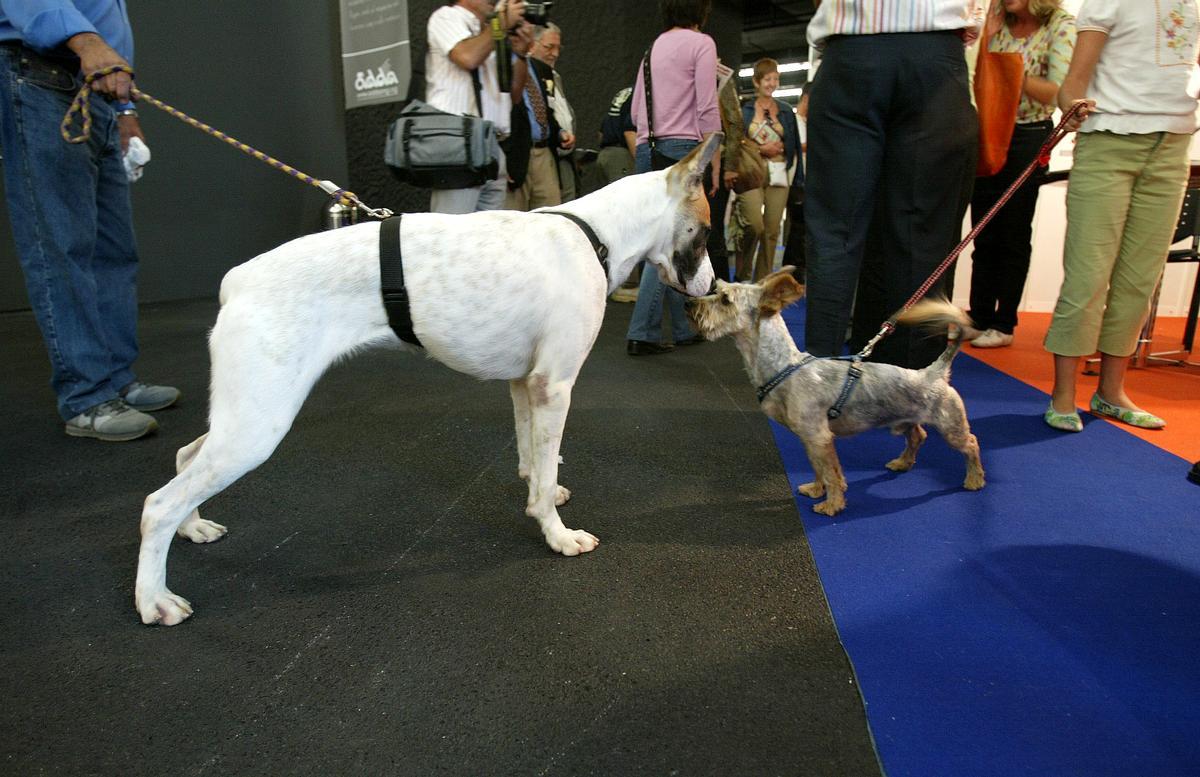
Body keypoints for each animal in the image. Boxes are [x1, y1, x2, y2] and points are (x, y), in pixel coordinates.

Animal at [137, 134, 724, 623]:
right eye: (706, 233)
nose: (715, 287)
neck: (595, 234)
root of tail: (239, 280)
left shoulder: (527, 386)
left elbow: (533, 459)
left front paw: (545, 492)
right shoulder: (555, 386)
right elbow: (540, 474)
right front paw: (556, 535)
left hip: (242, 418)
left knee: (185, 458)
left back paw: (193, 527)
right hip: (257, 428)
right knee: (157, 505)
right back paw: (154, 599)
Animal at [686, 268, 984, 515]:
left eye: (725, 299)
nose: (689, 303)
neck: (785, 366)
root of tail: (934, 372)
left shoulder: (819, 437)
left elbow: (831, 474)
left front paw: (832, 505)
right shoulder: (810, 439)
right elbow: (819, 469)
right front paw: (817, 490)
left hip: (951, 426)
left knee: (971, 444)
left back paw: (975, 478)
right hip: (904, 420)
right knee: (918, 436)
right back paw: (903, 463)